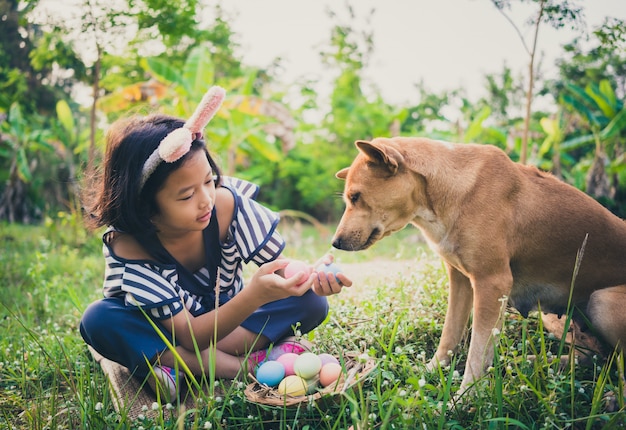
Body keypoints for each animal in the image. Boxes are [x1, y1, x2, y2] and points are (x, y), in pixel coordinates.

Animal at [334, 137, 624, 394]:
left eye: (355, 196)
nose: (335, 243)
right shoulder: (460, 280)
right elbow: (449, 334)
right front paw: (431, 371)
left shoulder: (492, 284)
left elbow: (478, 351)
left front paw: (464, 398)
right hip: (554, 315)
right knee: (593, 356)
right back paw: (539, 363)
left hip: (603, 303)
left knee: (611, 358)